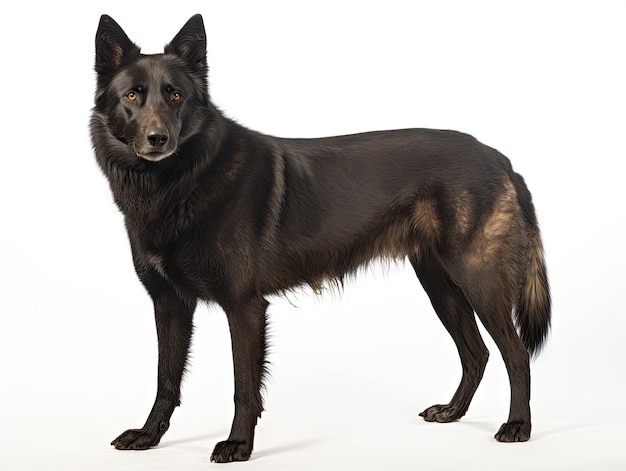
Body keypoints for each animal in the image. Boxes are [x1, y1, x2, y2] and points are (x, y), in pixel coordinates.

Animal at [90, 13, 548, 464]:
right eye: (132, 96)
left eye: (175, 96)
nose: (158, 140)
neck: (176, 181)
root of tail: (500, 159)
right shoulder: (169, 304)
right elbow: (165, 380)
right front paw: (149, 436)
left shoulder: (244, 307)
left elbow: (243, 385)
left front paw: (239, 445)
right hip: (440, 284)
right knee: (477, 353)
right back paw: (453, 412)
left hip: (479, 281)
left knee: (515, 353)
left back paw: (517, 426)